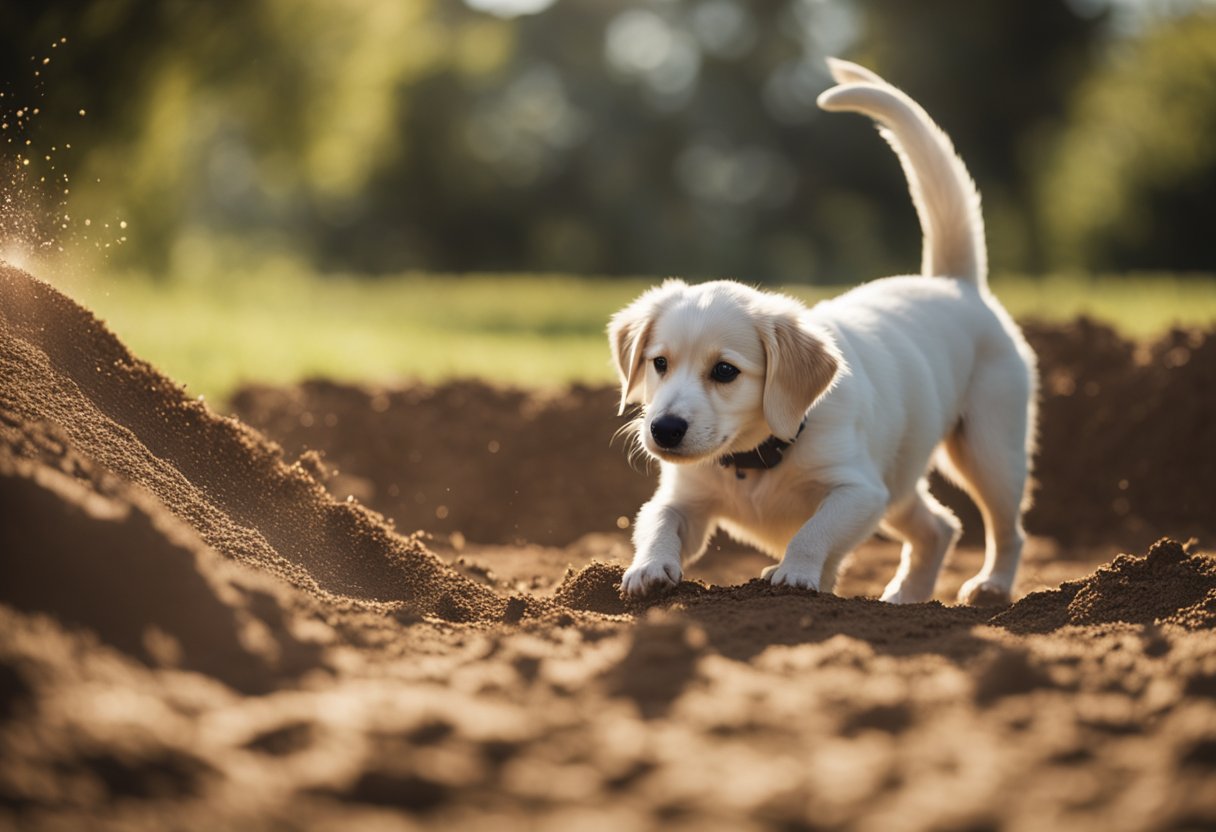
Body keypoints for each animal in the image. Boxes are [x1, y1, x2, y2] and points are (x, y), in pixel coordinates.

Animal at [608, 58, 1036, 603]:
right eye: (658, 363)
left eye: (725, 371)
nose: (663, 430)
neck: (757, 456)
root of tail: (954, 282)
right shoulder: (686, 496)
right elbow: (657, 519)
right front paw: (647, 568)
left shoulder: (858, 490)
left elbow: (815, 532)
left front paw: (794, 575)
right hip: (902, 482)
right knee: (939, 527)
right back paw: (904, 597)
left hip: (988, 449)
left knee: (1007, 528)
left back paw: (992, 585)